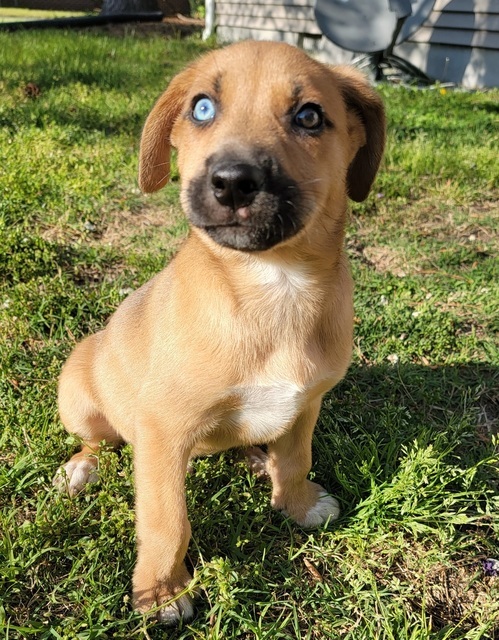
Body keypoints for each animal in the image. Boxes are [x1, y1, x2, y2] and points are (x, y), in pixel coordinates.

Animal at [55, 42, 386, 624]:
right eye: (202, 108)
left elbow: (296, 460)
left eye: (310, 116)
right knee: (98, 439)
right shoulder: (164, 430)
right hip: (78, 393)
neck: (276, 287)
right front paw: (162, 591)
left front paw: (295, 503)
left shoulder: (307, 403)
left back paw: (256, 458)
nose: (232, 181)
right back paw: (81, 468)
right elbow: (166, 520)